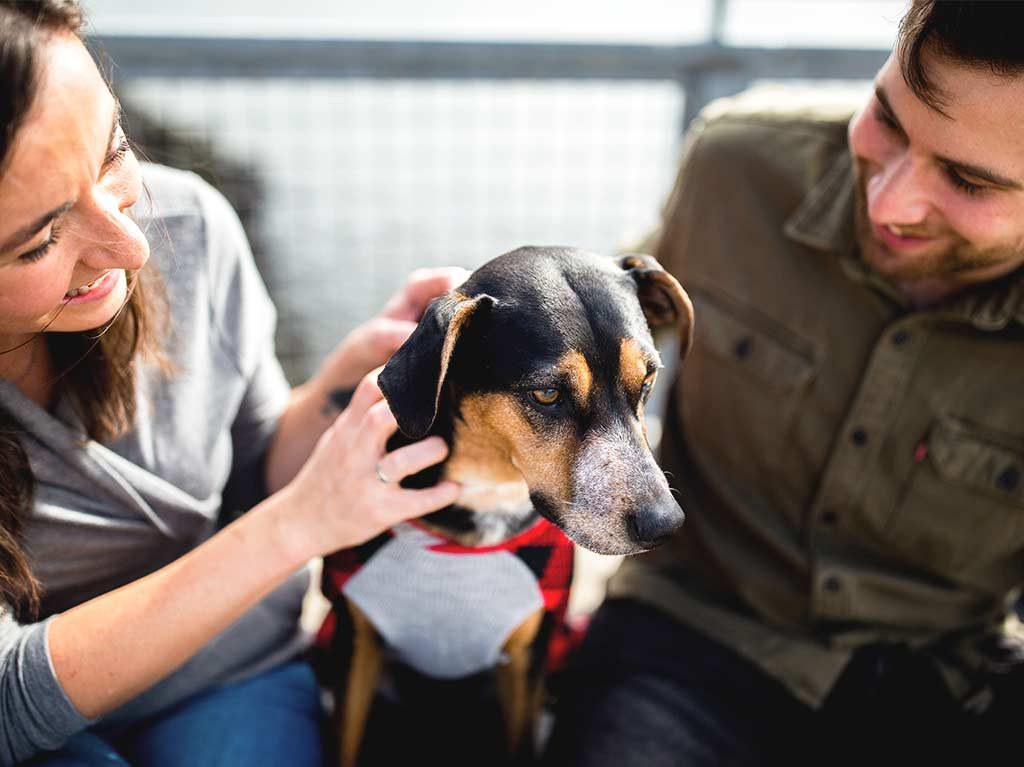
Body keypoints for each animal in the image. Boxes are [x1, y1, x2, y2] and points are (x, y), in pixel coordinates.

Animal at [315, 248, 692, 761]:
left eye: (648, 381)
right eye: (547, 394)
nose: (664, 524)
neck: (490, 493)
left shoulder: (529, 660)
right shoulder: (355, 646)